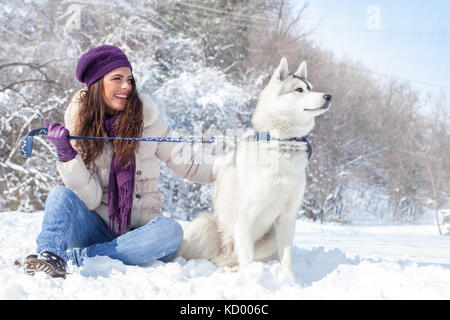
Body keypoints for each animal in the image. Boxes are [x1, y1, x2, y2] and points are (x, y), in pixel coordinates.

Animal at [176, 58, 330, 280]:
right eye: (299, 89)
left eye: (311, 87)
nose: (328, 96)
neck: (281, 144)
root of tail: (224, 255)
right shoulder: (245, 215)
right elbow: (247, 255)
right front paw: (252, 279)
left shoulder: (288, 217)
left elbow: (286, 257)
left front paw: (289, 280)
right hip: (203, 225)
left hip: (270, 239)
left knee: (235, 260)